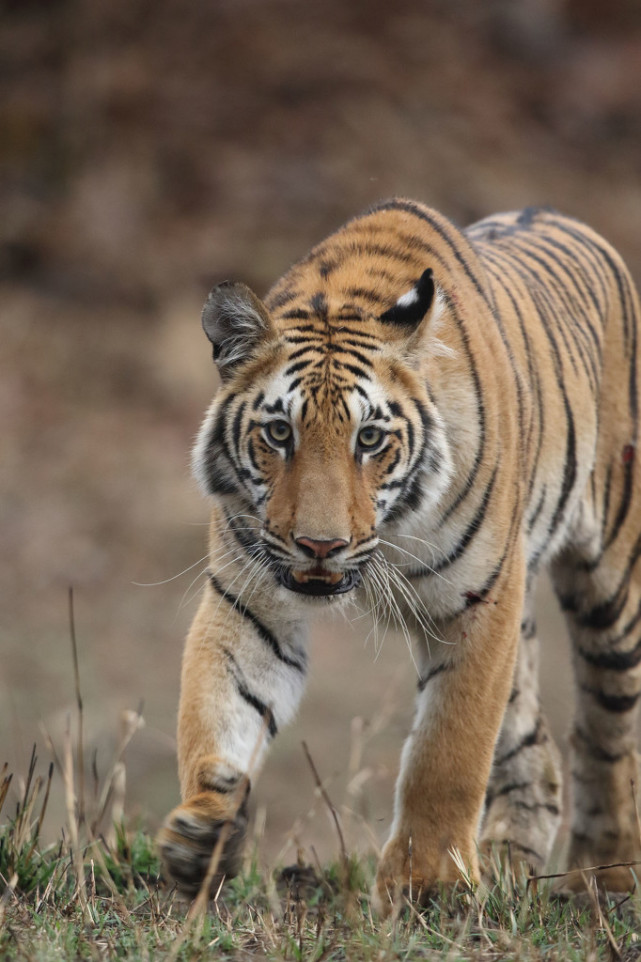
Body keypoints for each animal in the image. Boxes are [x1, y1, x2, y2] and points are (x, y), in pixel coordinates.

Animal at [158, 197, 640, 916]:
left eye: (369, 439)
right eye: (279, 433)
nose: (320, 545)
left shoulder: (480, 603)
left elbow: (448, 751)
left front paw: (427, 883)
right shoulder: (250, 599)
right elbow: (216, 707)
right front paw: (204, 834)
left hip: (609, 580)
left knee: (608, 727)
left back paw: (601, 877)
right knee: (535, 744)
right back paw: (509, 863)